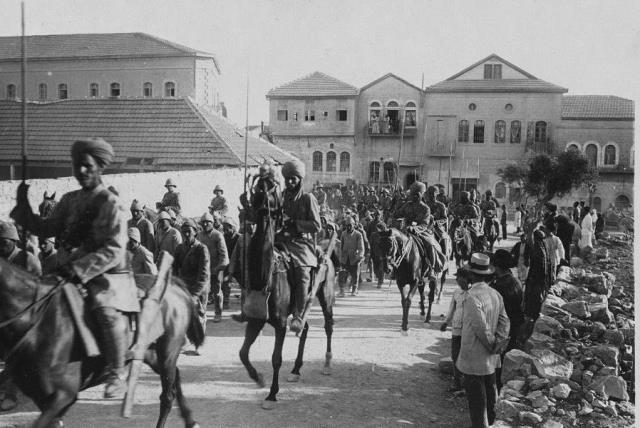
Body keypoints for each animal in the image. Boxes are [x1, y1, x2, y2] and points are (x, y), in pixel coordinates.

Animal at [0, 258, 202, 428]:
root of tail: (175, 285)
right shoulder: (44, 398)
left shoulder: (63, 394)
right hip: (151, 355)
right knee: (175, 377)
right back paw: (191, 421)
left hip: (167, 351)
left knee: (167, 395)